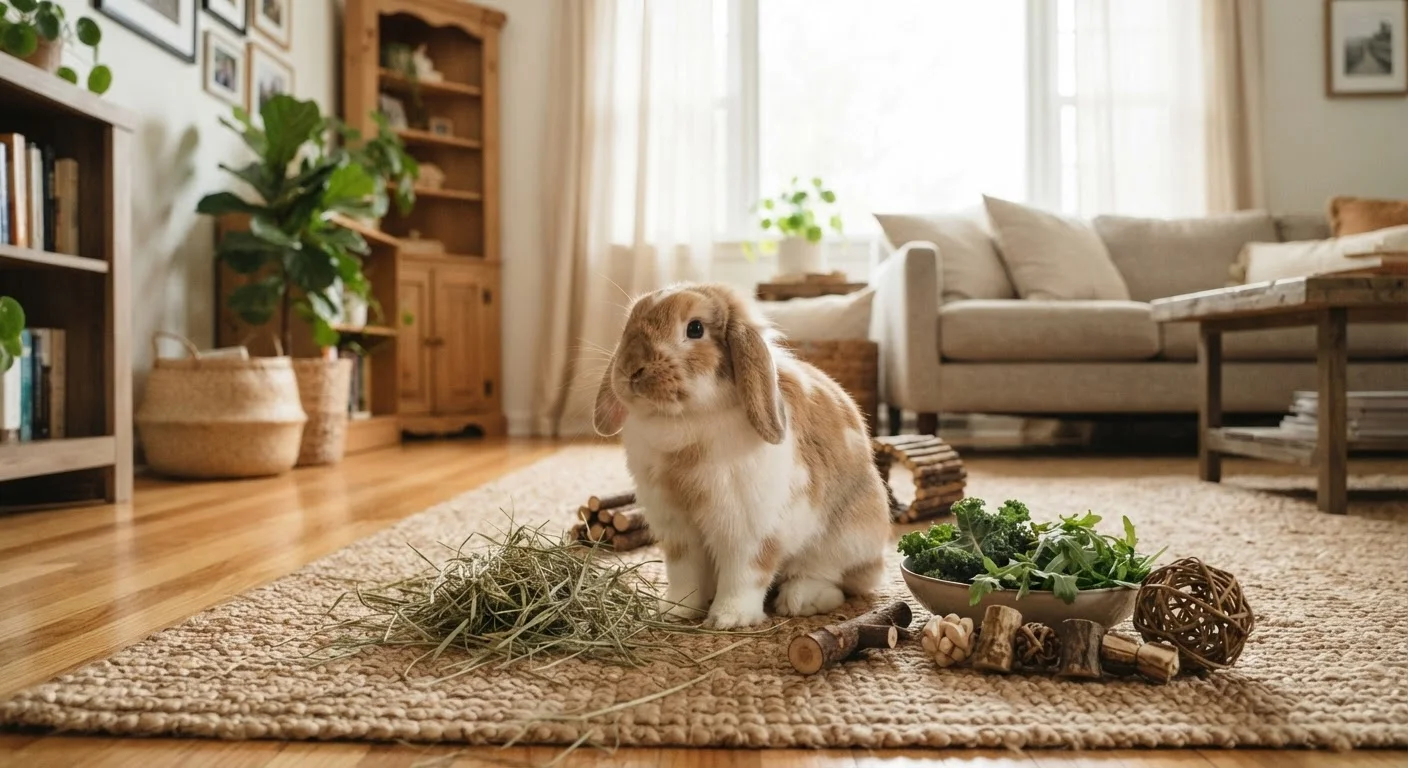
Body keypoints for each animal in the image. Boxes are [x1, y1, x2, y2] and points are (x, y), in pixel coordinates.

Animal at [593, 283, 891, 629]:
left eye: (695, 328)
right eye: (629, 324)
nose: (632, 370)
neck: (686, 419)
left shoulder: (747, 529)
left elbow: (744, 574)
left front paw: (729, 619)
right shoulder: (677, 530)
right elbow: (684, 573)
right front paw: (674, 611)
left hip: (845, 541)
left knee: (833, 578)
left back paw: (800, 600)